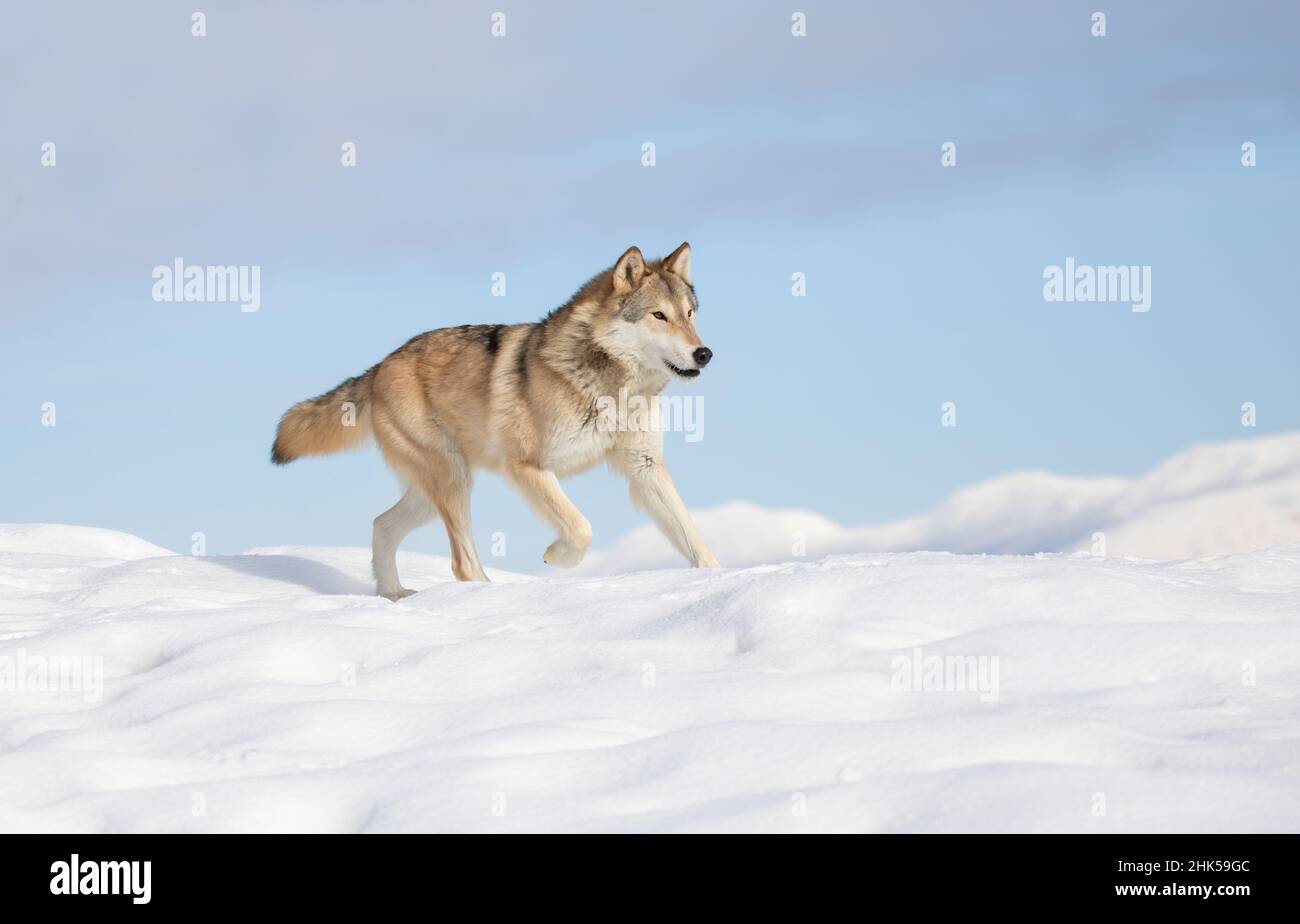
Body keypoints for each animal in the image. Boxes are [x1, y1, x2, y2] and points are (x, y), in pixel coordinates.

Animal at [271, 243, 719, 598]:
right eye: (659, 316)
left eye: (690, 314)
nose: (704, 353)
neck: (613, 386)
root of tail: (379, 366)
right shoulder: (527, 467)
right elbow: (581, 528)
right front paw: (555, 556)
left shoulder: (645, 467)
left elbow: (694, 538)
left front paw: (717, 582)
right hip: (453, 482)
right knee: (461, 563)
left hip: (431, 494)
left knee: (381, 525)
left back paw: (395, 596)